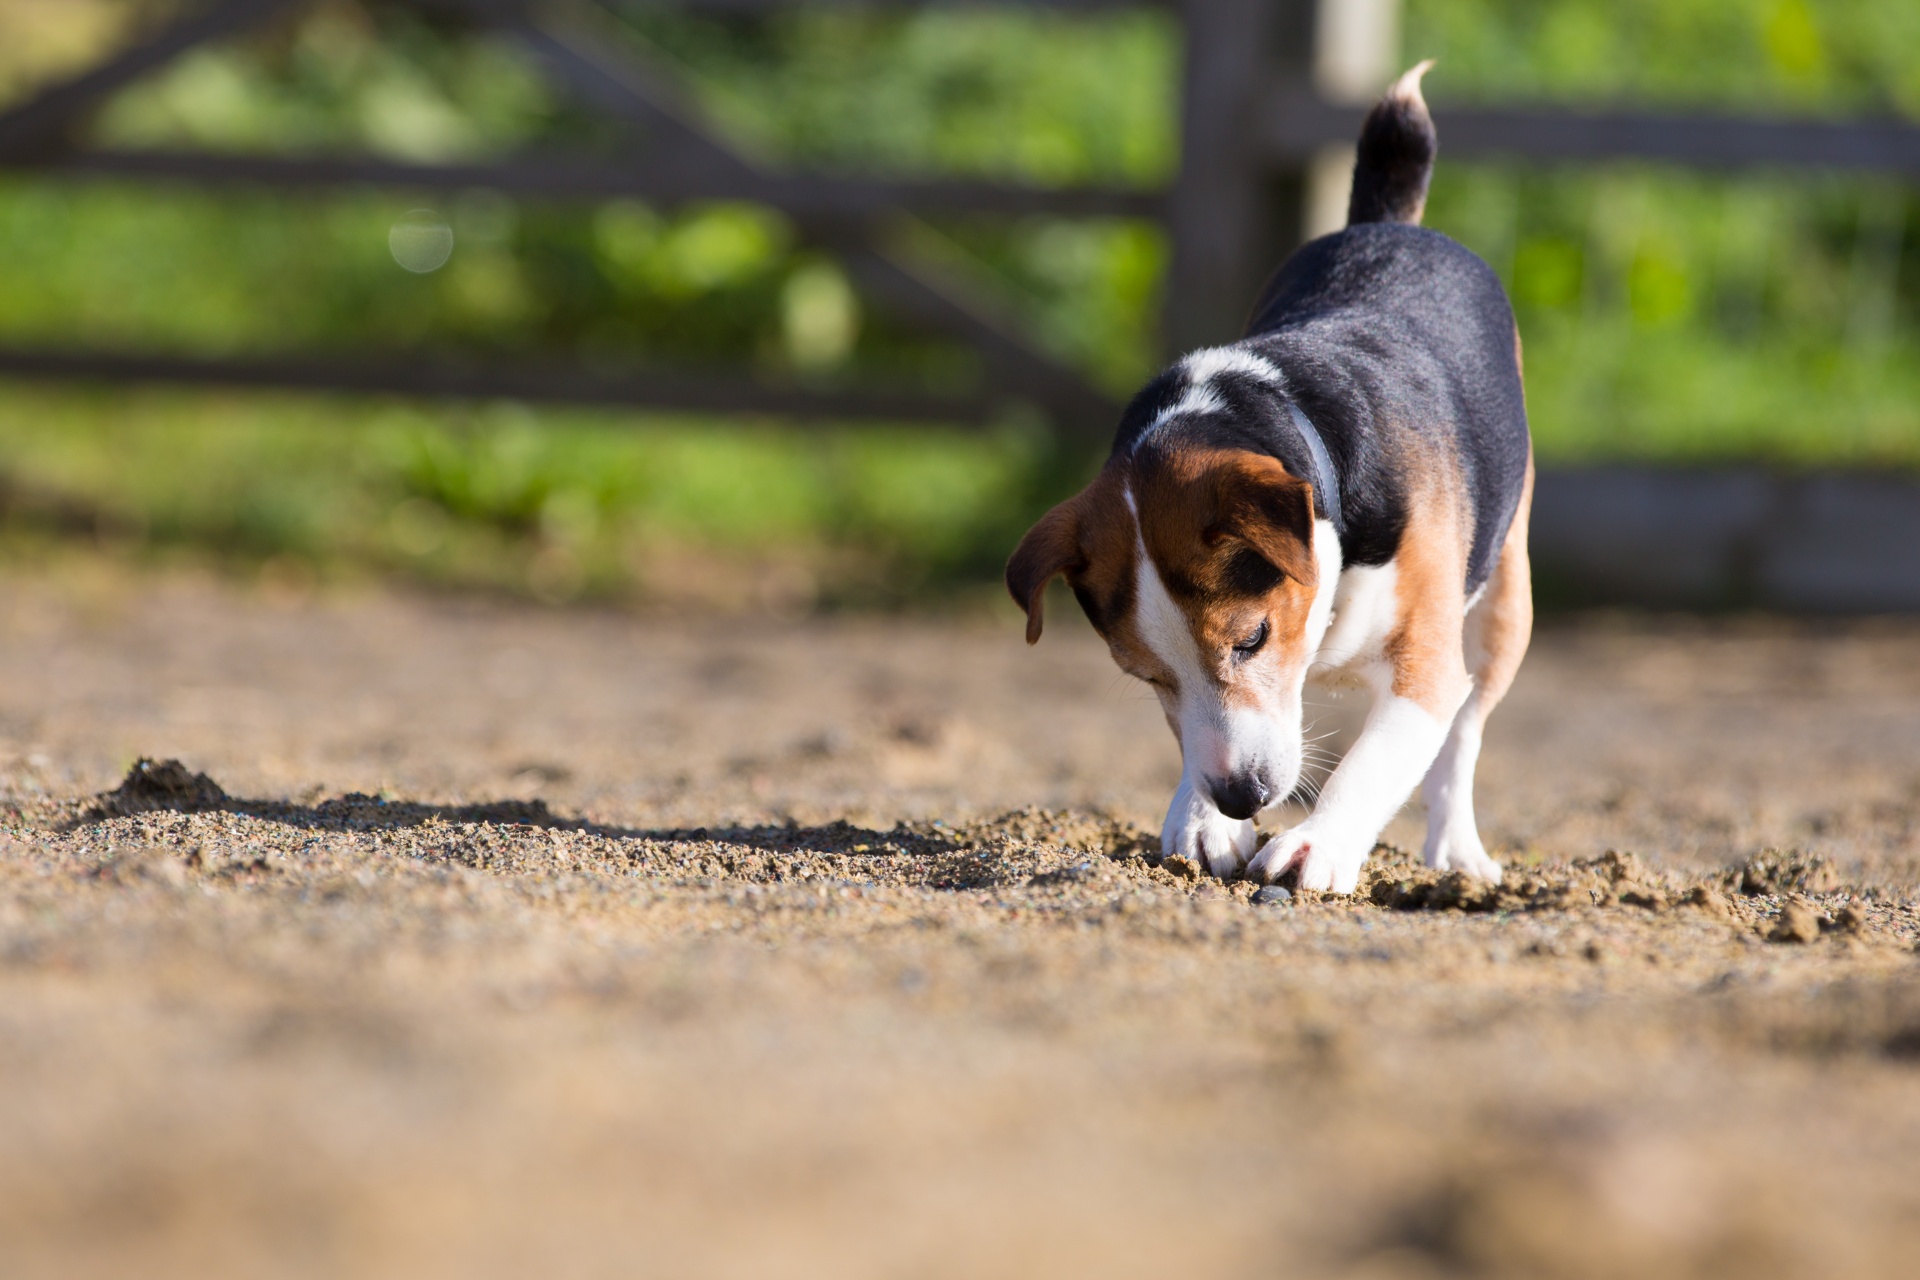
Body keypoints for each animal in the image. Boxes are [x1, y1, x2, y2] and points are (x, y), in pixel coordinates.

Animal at [1006, 67, 1528, 890]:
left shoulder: (1424, 666)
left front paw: (1318, 843)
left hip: (1504, 606)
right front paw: (1200, 818)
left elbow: (1376, 761)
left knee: (1464, 733)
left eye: (1250, 638)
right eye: (1145, 675)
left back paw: (1455, 849)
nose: (1239, 795)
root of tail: (1387, 224)